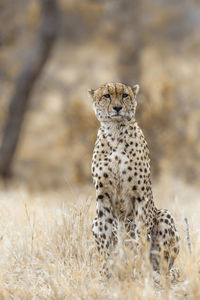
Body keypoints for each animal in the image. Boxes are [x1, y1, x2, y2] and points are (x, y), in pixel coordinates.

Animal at [89, 81, 180, 276]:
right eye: (106, 95)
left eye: (124, 95)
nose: (117, 108)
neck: (115, 131)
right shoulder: (103, 197)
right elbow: (106, 239)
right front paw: (106, 270)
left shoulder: (140, 196)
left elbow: (141, 236)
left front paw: (139, 267)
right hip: (95, 220)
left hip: (164, 215)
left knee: (163, 264)